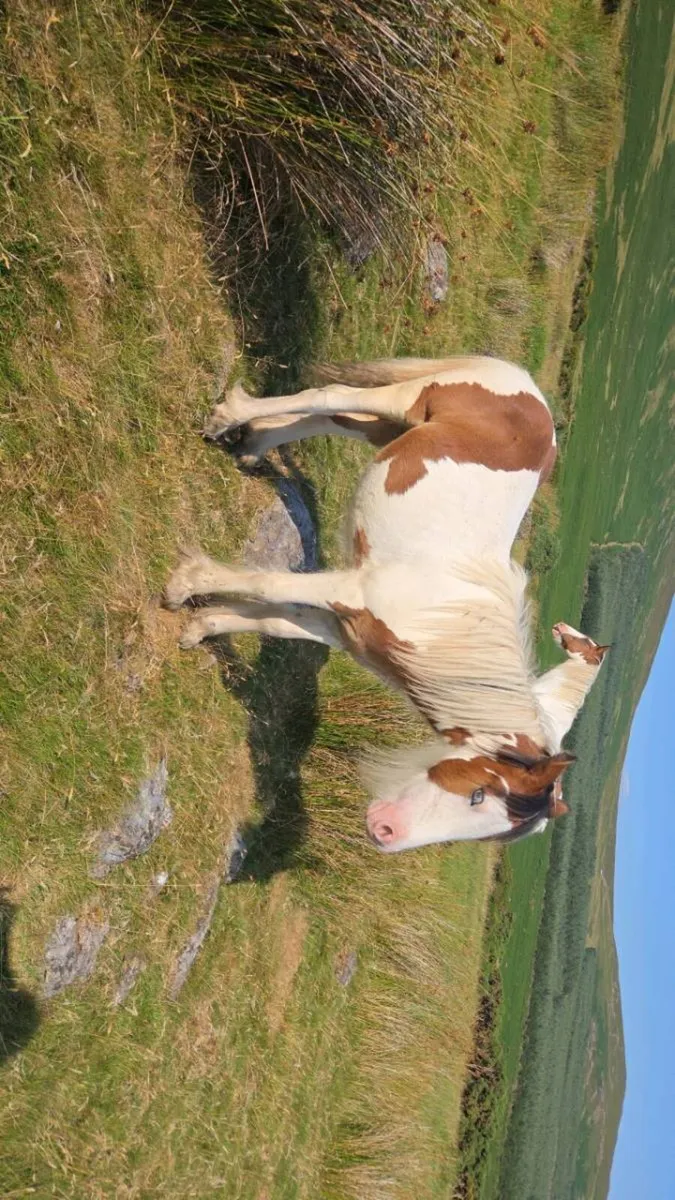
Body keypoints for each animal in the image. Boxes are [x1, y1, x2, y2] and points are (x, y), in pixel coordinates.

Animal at [164, 356, 609, 852]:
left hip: (390, 432)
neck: (438, 624)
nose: (384, 833)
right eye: (479, 793)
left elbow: (276, 620)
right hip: (406, 402)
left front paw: (203, 625)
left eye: (485, 834)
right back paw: (228, 418)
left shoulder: (344, 628)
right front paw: (186, 585)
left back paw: (253, 446)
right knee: (332, 397)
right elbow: (269, 586)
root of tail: (529, 392)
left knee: (334, 419)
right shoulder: (351, 590)